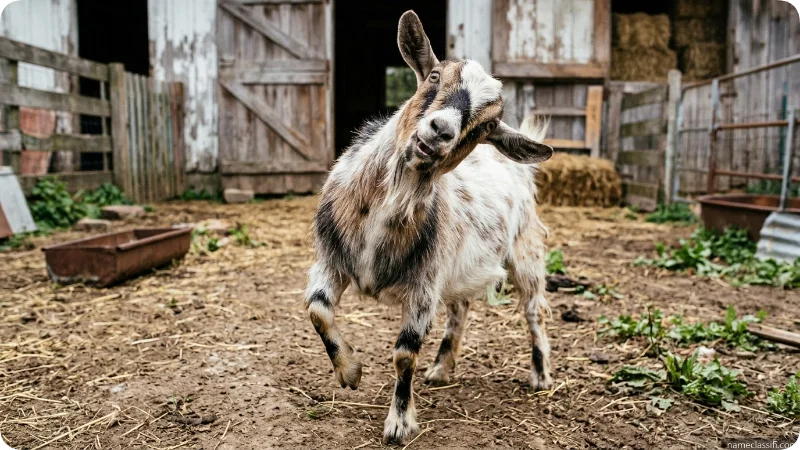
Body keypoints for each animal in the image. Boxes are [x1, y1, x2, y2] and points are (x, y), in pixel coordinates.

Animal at [304, 10, 555, 444]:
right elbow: (318, 311)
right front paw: (350, 372)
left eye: (487, 126)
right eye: (434, 76)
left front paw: (399, 423)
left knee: (533, 310)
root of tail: (518, 169)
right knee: (461, 307)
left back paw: (539, 375)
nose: (441, 131)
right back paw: (441, 367)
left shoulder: (423, 286)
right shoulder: (331, 259)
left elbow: (405, 354)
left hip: (525, 254)